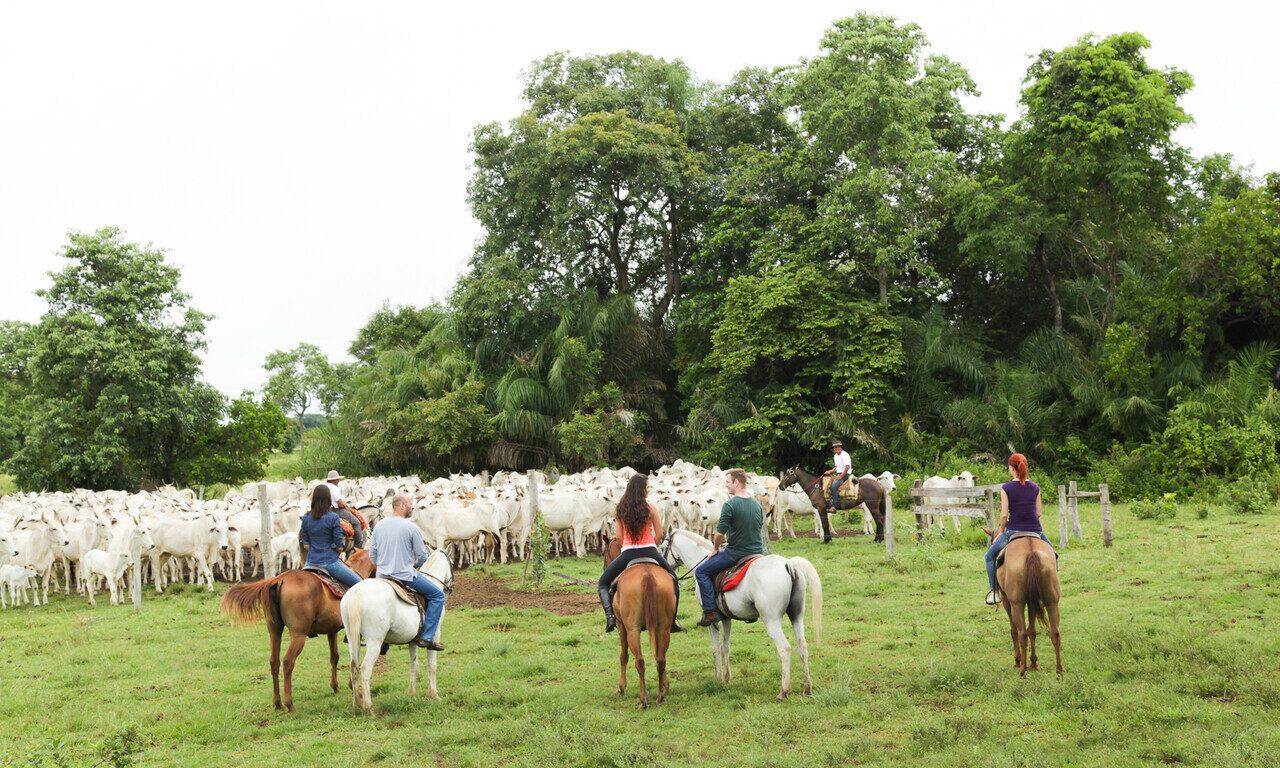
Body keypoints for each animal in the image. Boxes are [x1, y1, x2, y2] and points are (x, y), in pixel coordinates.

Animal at [217, 547, 371, 711]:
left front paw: (335, 687)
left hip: (274, 631)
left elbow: (334, 657)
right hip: (298, 635)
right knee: (288, 662)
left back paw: (278, 703)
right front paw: (352, 687)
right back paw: (289, 704)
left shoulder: (332, 630)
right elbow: (353, 657)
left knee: (274, 661)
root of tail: (278, 580)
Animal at [343, 545, 453, 711]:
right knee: (365, 668)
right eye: (452, 562)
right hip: (374, 642)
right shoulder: (435, 633)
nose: (451, 586)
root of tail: (356, 593)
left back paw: (356, 704)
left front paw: (412, 694)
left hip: (352, 638)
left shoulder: (413, 640)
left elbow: (414, 664)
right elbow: (432, 664)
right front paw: (433, 694)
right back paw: (368, 708)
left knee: (353, 666)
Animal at [665, 529, 824, 701]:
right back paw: (807, 688)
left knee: (785, 648)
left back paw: (783, 691)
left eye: (663, 546)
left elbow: (715, 648)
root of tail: (788, 564)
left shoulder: (712, 622)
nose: (667, 569)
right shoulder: (726, 619)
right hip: (796, 616)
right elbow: (725, 647)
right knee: (802, 646)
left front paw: (718, 678)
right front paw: (727, 678)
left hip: (772, 620)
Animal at [988, 527, 1059, 675]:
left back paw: (1022, 671)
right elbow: (1032, 631)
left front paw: (1018, 660)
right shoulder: (1032, 602)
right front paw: (1034, 663)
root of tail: (1031, 552)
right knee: (1054, 632)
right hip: (1052, 601)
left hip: (1016, 604)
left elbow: (1014, 630)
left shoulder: (1006, 599)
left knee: (1021, 634)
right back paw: (1059, 673)